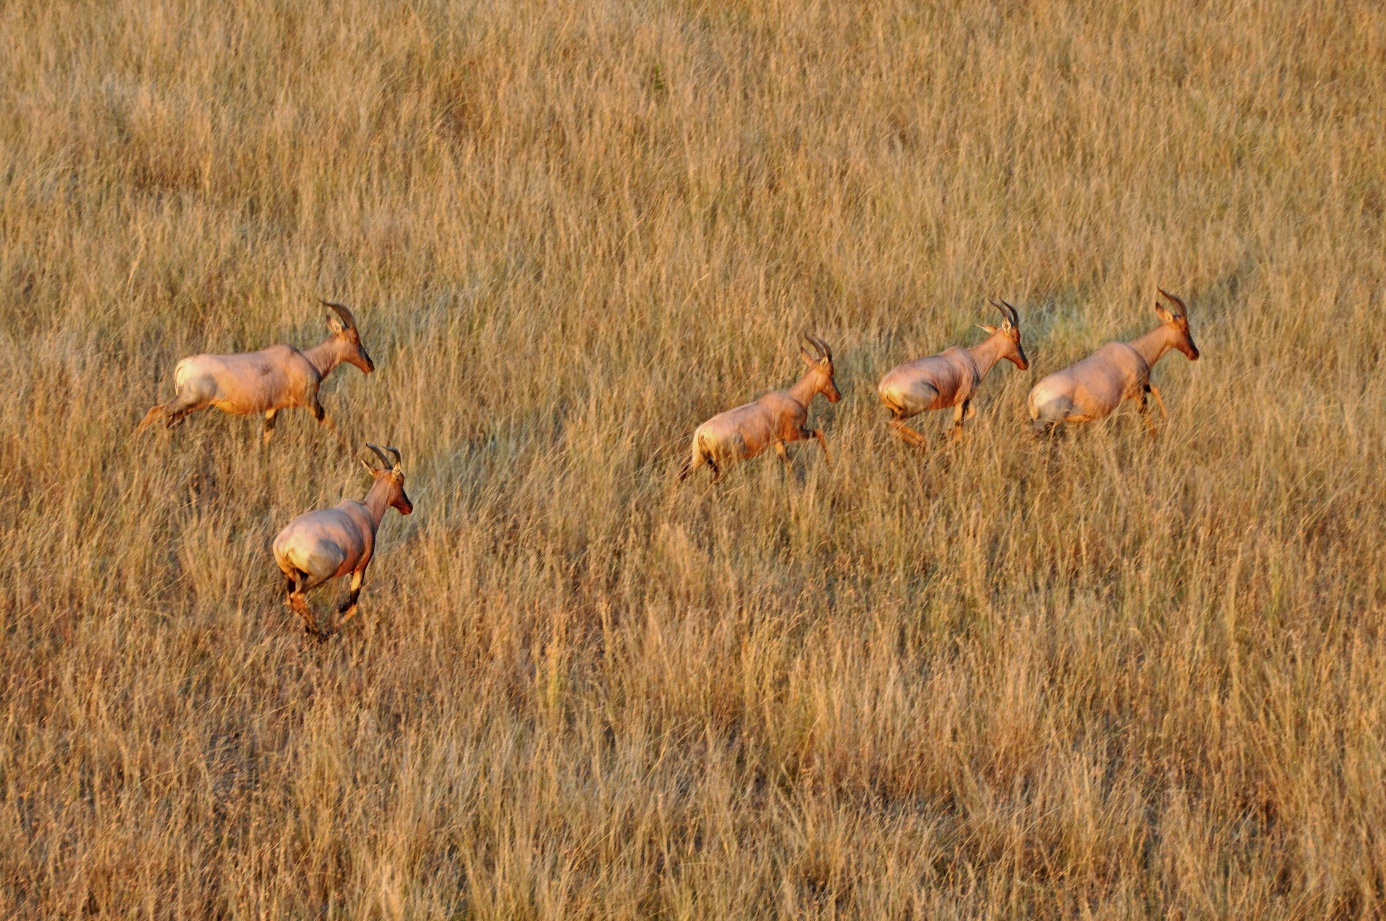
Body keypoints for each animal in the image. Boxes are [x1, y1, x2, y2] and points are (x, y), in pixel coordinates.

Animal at [136, 297, 374, 443]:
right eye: (355, 338)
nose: (370, 365)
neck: (306, 359)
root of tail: (183, 365)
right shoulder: (311, 402)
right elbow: (334, 426)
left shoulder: (272, 409)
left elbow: (267, 438)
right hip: (188, 401)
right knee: (155, 411)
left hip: (188, 407)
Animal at [270, 443, 410, 637]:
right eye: (401, 479)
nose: (408, 507)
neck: (365, 510)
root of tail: (284, 544)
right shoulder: (360, 568)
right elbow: (354, 607)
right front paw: (334, 624)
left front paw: (340, 607)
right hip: (322, 574)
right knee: (296, 596)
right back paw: (318, 631)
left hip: (289, 574)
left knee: (289, 599)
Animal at [679, 332, 837, 487]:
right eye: (831, 371)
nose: (837, 396)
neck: (793, 397)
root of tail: (701, 433)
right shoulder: (793, 434)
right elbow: (819, 432)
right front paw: (830, 466)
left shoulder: (778, 441)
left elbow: (788, 464)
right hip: (725, 463)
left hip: (697, 459)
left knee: (681, 476)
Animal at [875, 297, 1031, 445]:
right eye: (1016, 336)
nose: (1025, 364)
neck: (972, 357)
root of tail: (884, 386)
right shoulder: (962, 401)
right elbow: (959, 430)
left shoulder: (963, 402)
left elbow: (971, 414)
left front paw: (945, 433)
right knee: (894, 424)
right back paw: (922, 441)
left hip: (895, 410)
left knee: (892, 426)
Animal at [1025, 285, 1197, 437]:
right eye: (1185, 328)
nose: (1195, 354)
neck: (1134, 349)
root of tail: (1033, 394)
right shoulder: (1137, 391)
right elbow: (1146, 414)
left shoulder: (1141, 387)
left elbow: (1155, 389)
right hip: (1047, 422)